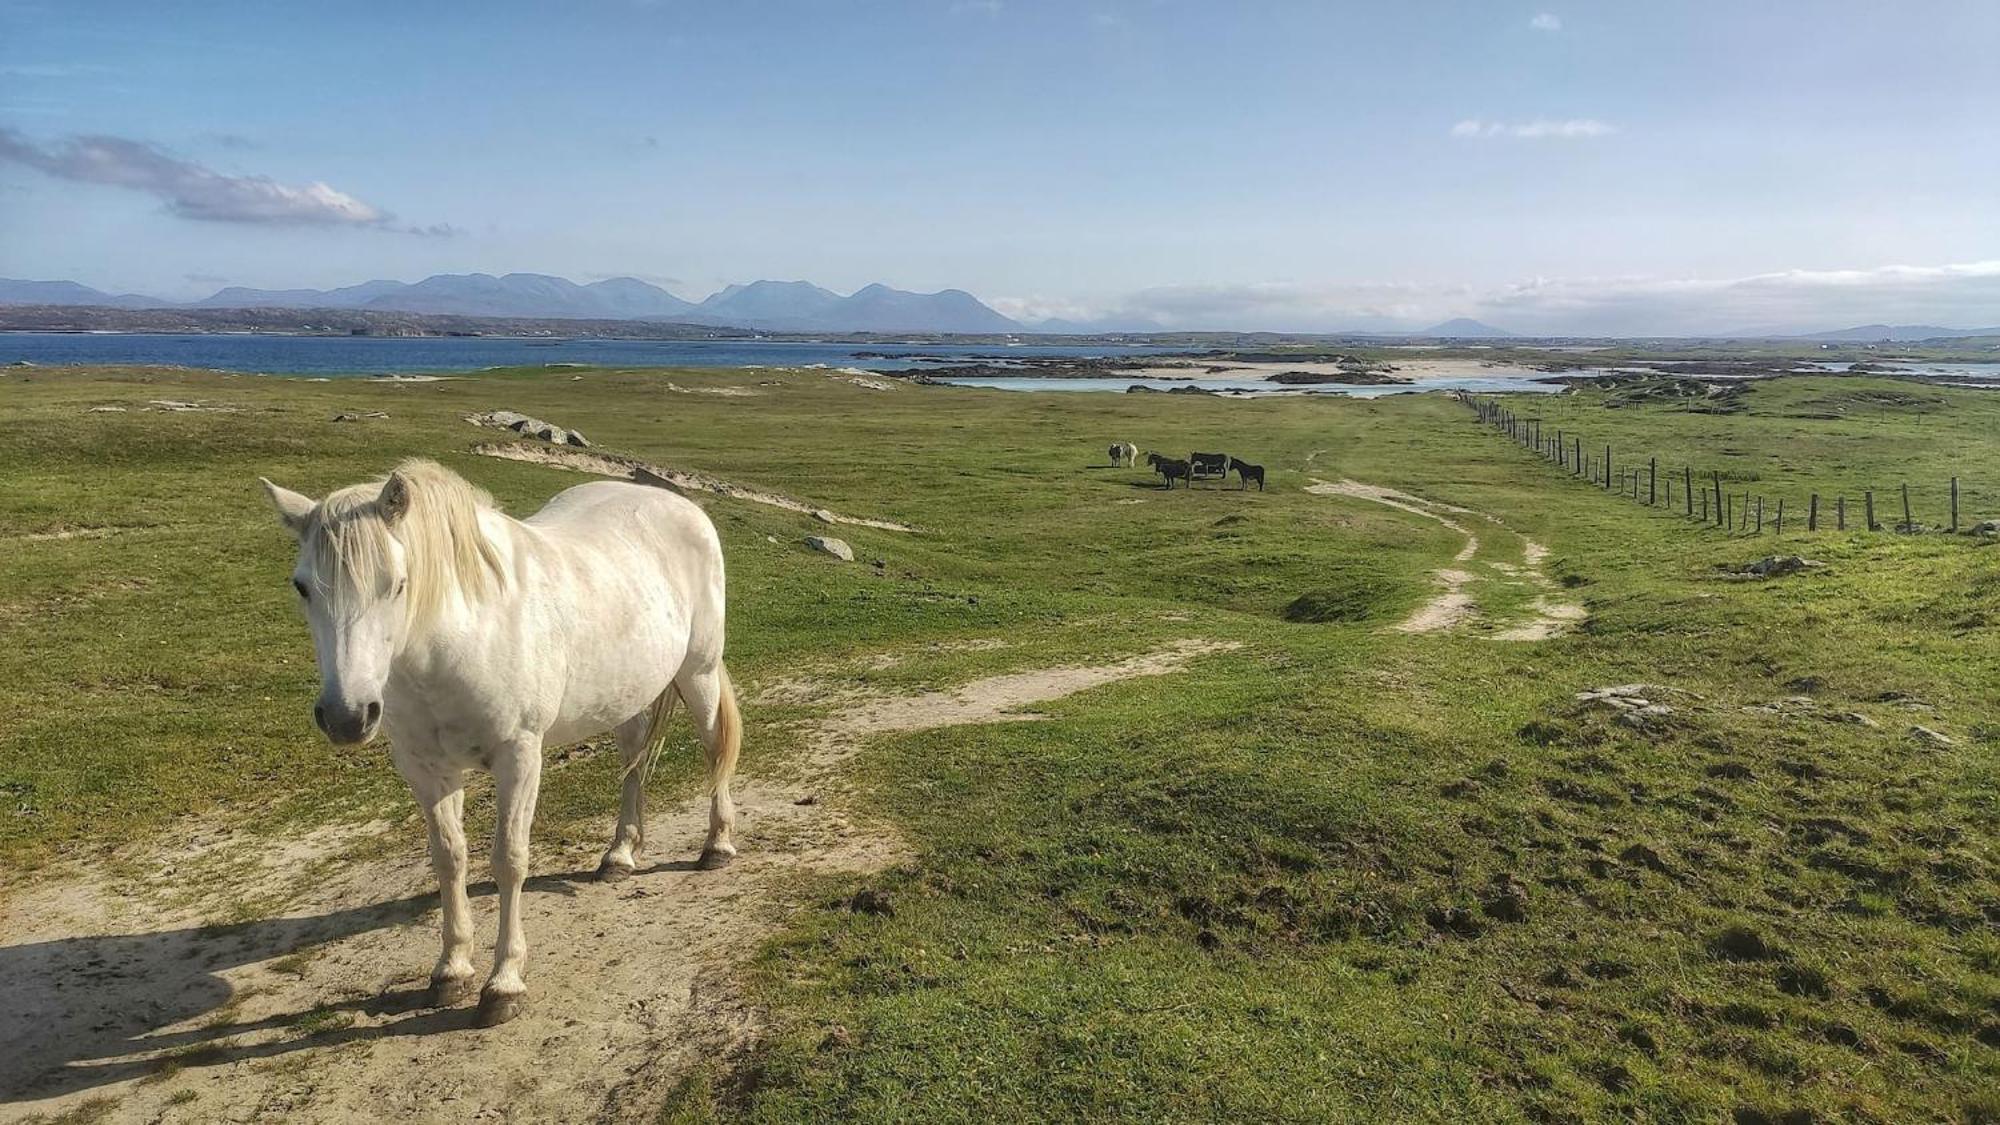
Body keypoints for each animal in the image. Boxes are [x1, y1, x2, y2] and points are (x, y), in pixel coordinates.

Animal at [262, 458, 740, 1024]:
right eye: (301, 587)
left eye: (396, 584)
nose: (346, 716)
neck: (462, 636)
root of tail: (681, 506)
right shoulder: (425, 768)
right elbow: (449, 858)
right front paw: (451, 970)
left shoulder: (519, 757)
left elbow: (509, 859)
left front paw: (504, 983)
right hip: (624, 694)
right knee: (633, 761)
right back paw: (619, 854)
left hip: (699, 674)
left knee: (714, 751)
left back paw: (717, 845)